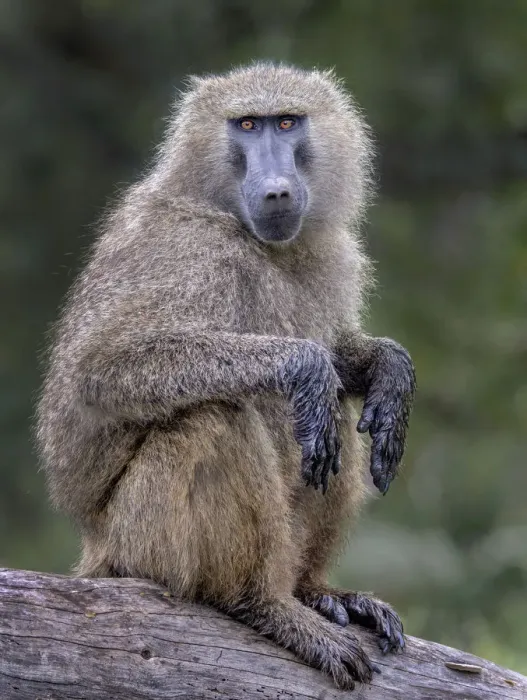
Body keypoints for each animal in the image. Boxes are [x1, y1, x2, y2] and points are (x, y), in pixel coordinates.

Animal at [36, 63, 416, 691]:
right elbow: (100, 370)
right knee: (221, 413)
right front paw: (304, 366)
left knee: (329, 417)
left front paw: (389, 372)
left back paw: (316, 593)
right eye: (246, 125)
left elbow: (341, 360)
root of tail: (96, 547)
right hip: (142, 543)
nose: (277, 190)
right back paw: (264, 605)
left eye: (286, 122)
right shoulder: (190, 253)